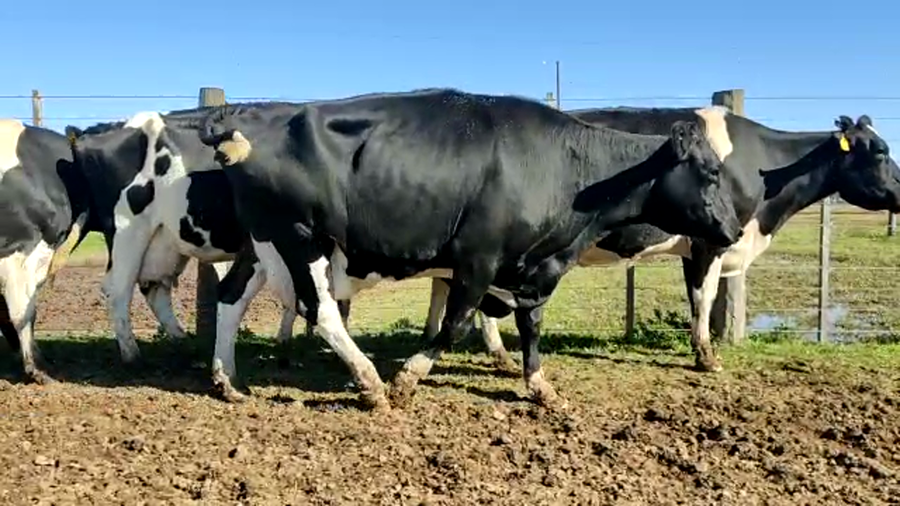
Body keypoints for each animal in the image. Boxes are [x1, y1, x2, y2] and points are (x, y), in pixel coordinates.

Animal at [63, 108, 324, 366]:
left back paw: (183, 342)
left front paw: (287, 338)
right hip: (127, 232)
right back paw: (133, 356)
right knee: (118, 290)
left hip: (162, 242)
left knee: (153, 288)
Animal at [196, 88, 746, 412]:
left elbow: (531, 324)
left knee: (231, 297)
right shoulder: (478, 259)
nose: (734, 229)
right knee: (321, 310)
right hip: (298, 237)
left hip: (261, 243)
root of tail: (248, 113)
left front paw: (540, 386)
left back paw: (227, 380)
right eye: (710, 173)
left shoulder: (534, 266)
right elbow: (454, 323)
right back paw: (371, 383)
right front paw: (408, 379)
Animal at [422, 108, 900, 373]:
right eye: (880, 151)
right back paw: (496, 352)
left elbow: (696, 297)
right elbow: (705, 298)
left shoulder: (699, 243)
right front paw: (706, 357)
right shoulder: (710, 242)